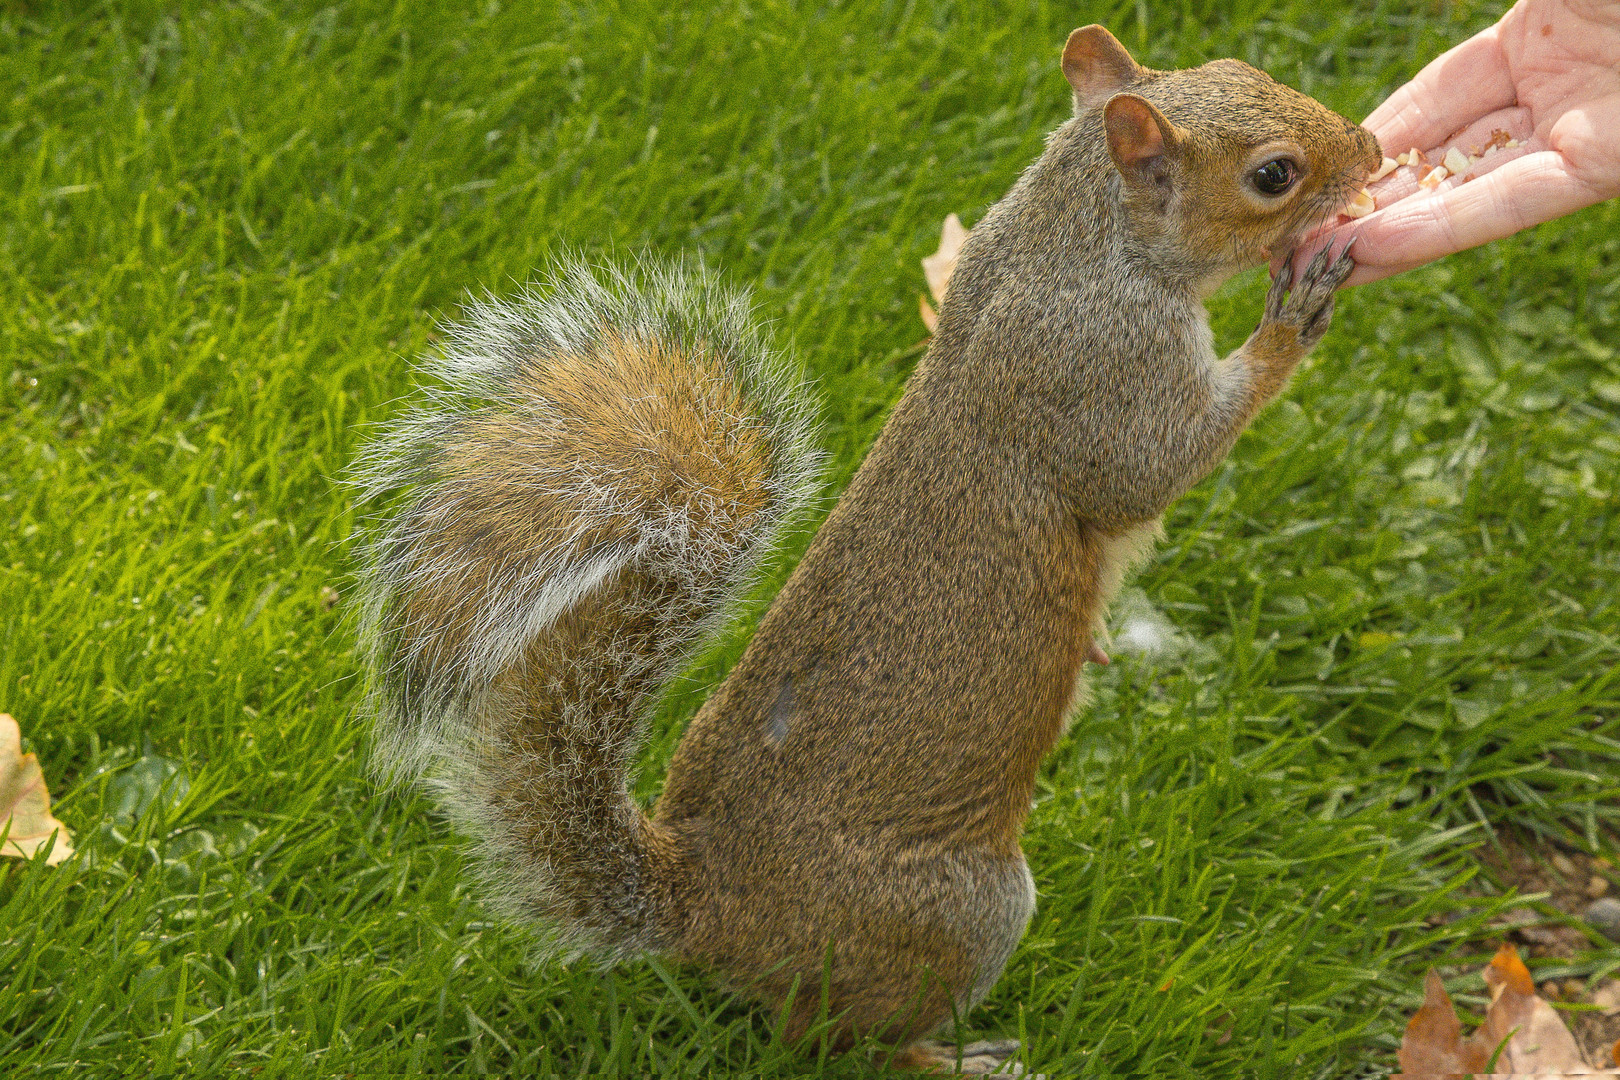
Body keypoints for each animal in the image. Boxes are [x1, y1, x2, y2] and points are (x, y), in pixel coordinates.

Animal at [351, 23, 1380, 1075]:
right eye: (1274, 174)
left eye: (1246, 72)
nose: (1374, 150)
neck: (1078, 239)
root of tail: (706, 913)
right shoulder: (1097, 369)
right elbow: (1147, 472)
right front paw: (1292, 314)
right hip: (959, 912)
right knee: (844, 1041)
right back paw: (957, 1057)